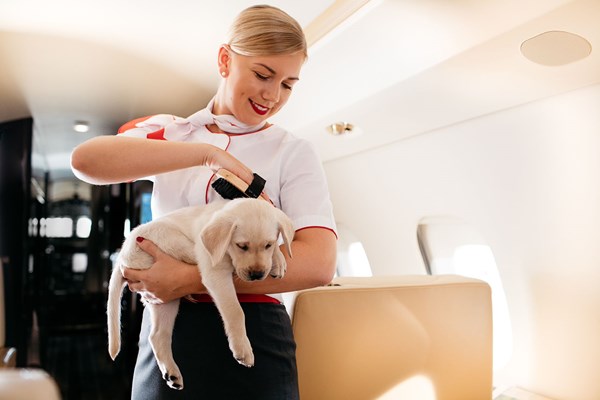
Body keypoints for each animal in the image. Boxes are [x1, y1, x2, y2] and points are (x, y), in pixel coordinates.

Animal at [109, 198, 296, 390]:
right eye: (241, 246)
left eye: (268, 244)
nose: (257, 275)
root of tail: (122, 257)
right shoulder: (216, 273)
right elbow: (235, 311)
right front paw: (242, 348)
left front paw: (278, 259)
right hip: (170, 240)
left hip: (165, 301)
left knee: (157, 335)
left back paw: (172, 374)